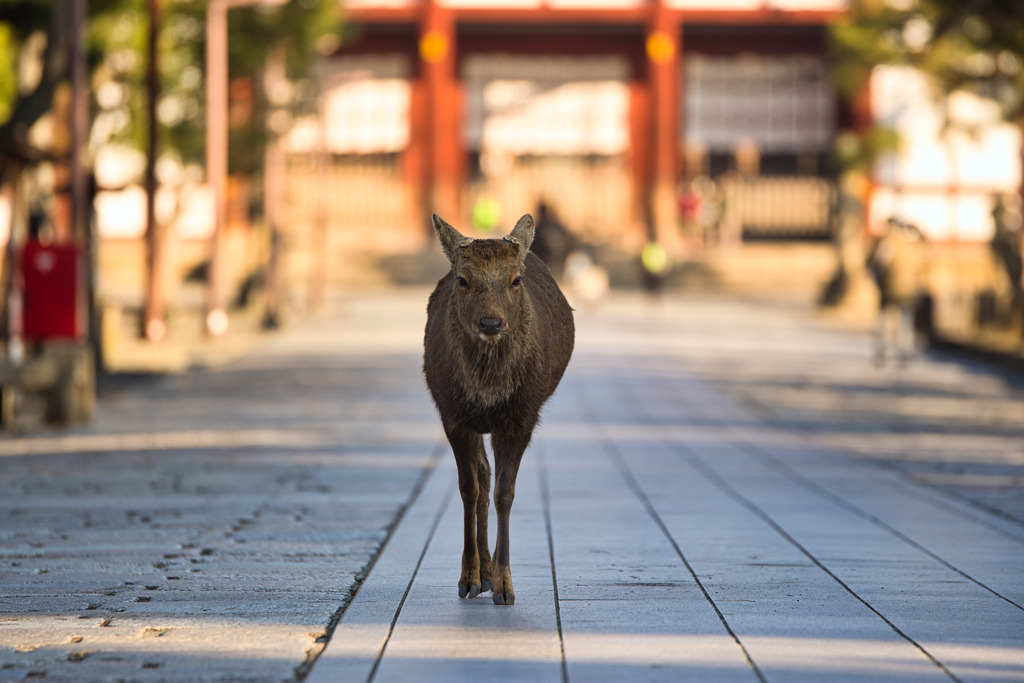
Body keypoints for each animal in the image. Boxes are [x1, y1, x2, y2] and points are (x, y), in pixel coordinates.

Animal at [419, 215, 573, 610]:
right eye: (462, 279)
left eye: (515, 280)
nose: (491, 323)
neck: (488, 391)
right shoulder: (453, 416)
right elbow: (468, 489)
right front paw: (468, 579)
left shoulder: (520, 417)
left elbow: (506, 492)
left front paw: (505, 586)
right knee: (481, 476)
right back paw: (481, 576)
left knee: (490, 477)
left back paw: (490, 576)